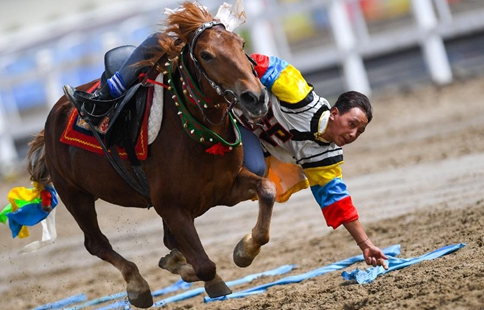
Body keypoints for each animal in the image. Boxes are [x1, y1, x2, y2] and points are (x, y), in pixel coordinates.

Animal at [26, 1, 276, 308]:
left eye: (240, 44)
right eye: (206, 55)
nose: (256, 98)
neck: (195, 134)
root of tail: (54, 114)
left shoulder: (226, 189)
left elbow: (267, 190)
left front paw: (245, 249)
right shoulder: (171, 207)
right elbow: (204, 265)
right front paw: (204, 275)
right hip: (75, 195)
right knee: (96, 243)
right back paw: (137, 286)